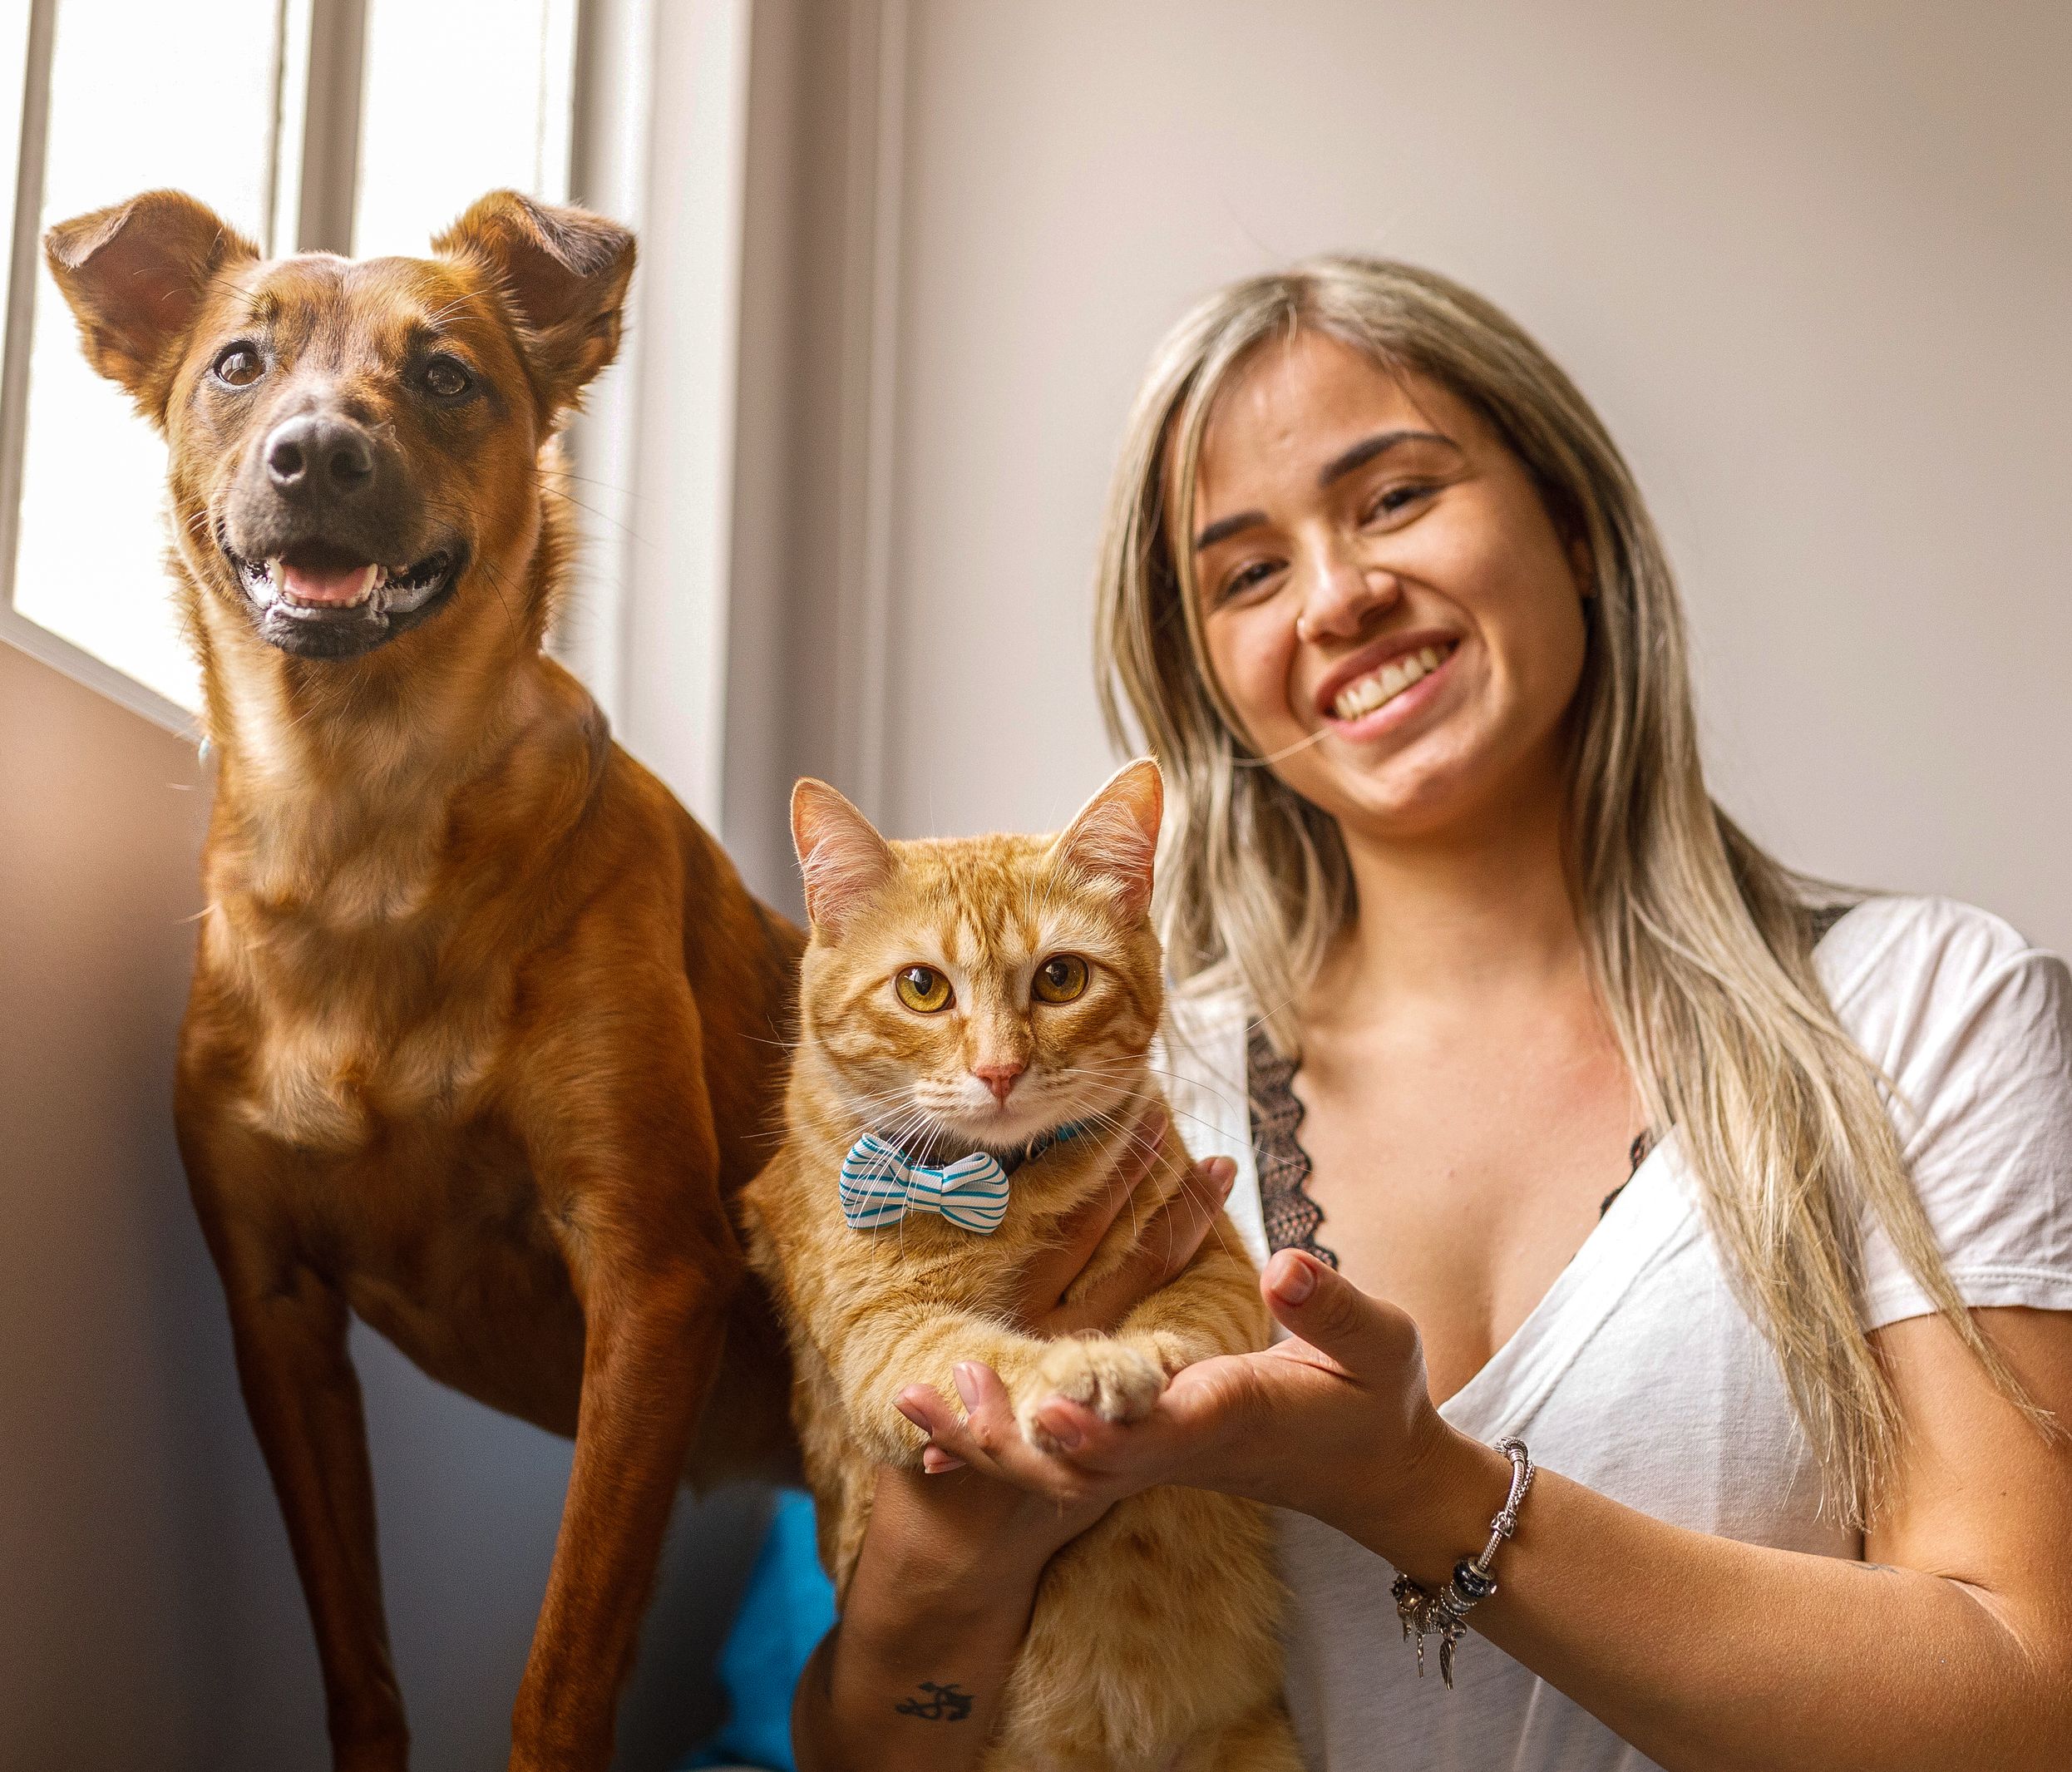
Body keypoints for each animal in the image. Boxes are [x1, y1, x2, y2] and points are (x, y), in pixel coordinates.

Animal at [42, 187, 799, 1765]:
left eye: (446, 374)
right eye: (239, 362)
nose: (318, 451)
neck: (362, 824)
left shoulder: (651, 1278)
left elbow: (561, 1674)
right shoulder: (274, 1312)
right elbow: (359, 1665)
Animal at [746, 763, 1293, 1772]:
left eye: (1060, 977)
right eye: (922, 987)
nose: (1000, 1070)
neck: (1006, 1188)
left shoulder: (1220, 1265)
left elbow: (1193, 1322)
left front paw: (1148, 1355)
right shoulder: (890, 1342)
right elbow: (996, 1357)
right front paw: (1084, 1368)